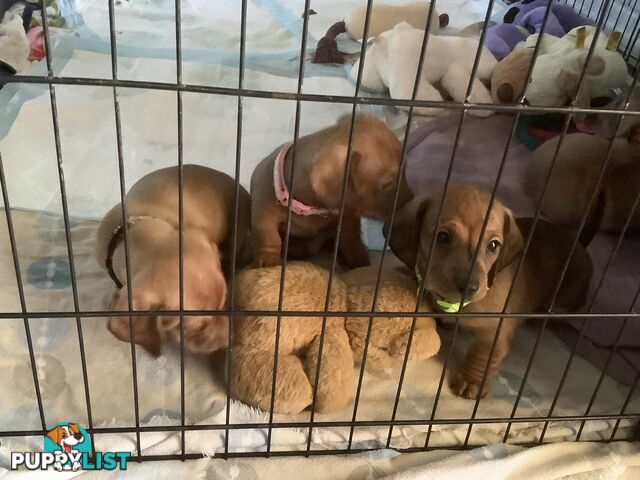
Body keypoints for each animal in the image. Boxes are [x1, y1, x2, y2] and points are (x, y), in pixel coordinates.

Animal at [248, 113, 412, 270]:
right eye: (387, 183)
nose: (411, 198)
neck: (313, 209)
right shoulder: (264, 215)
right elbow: (268, 237)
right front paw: (269, 260)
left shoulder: (348, 219)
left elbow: (350, 239)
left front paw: (358, 259)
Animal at [382, 186, 592, 400]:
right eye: (442, 237)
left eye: (493, 245)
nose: (470, 287)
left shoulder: (494, 332)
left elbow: (482, 356)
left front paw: (471, 381)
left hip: (565, 300)